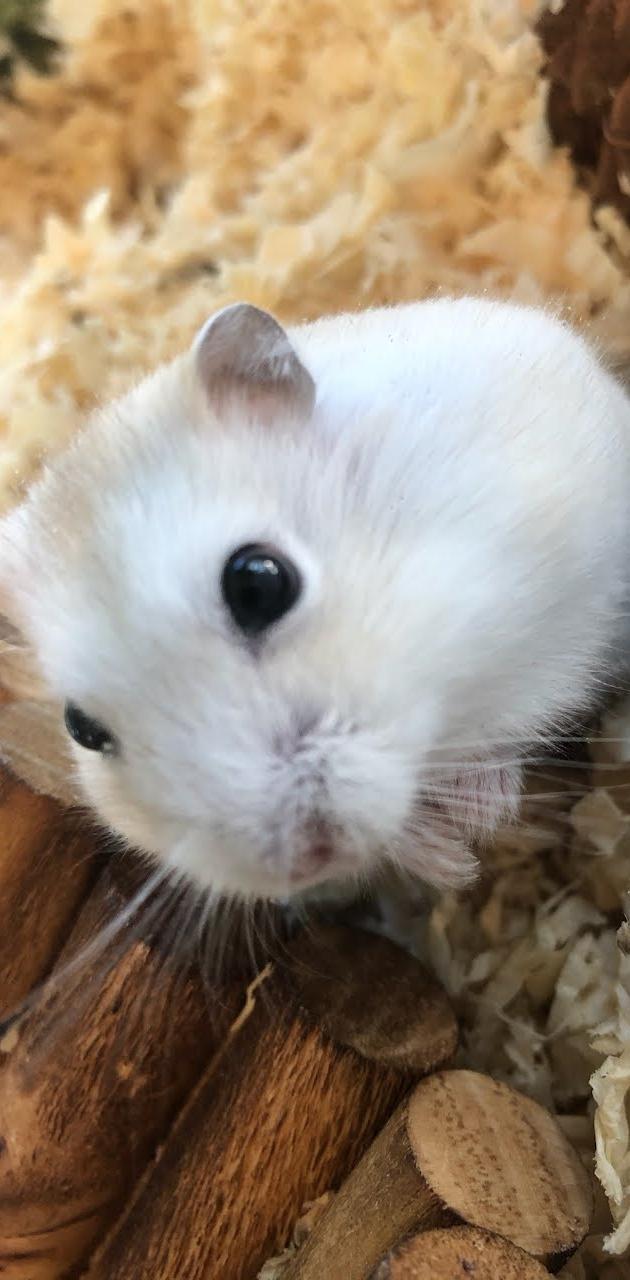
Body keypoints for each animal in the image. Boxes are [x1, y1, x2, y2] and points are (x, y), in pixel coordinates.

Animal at [1, 296, 630, 902]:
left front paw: (481, 819)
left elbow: (513, 720)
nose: (309, 860)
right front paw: (449, 862)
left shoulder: (566, 621)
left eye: (258, 583)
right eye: (81, 728)